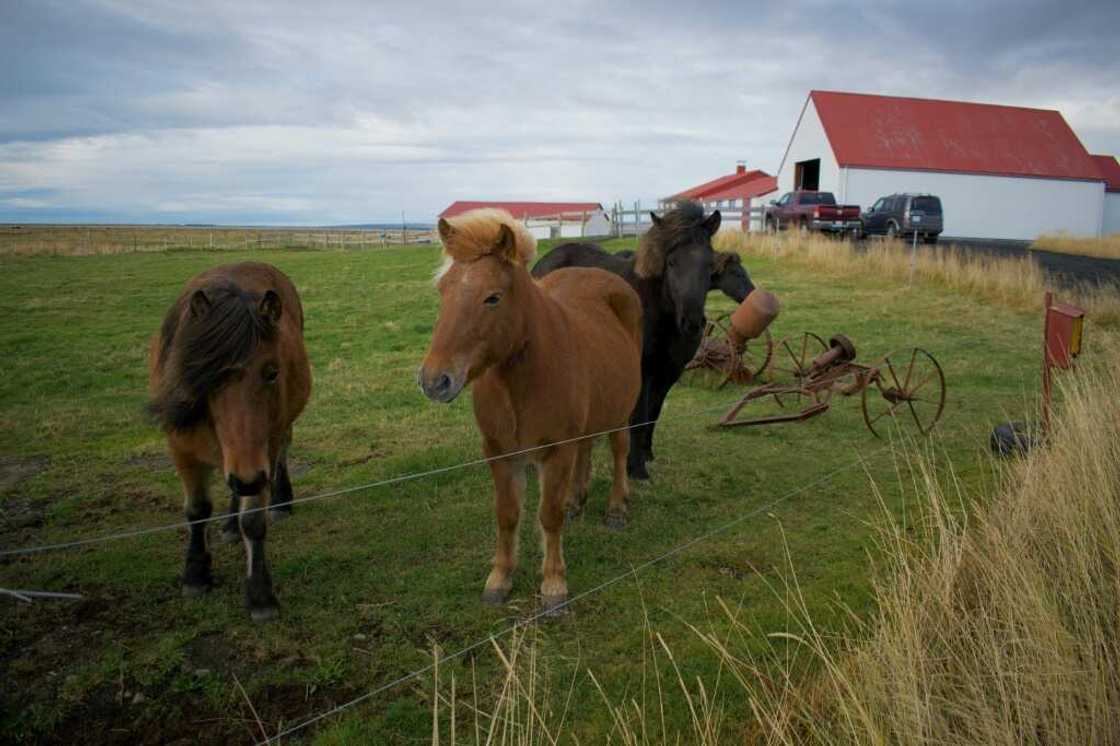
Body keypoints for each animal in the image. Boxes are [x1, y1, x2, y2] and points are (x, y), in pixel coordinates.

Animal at [146, 260, 311, 622]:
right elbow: (196, 510)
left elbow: (254, 520)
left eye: (272, 372)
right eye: (207, 376)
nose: (249, 479)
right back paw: (230, 526)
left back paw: (280, 503)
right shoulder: (181, 447)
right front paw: (196, 574)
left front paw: (260, 595)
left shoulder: (262, 451)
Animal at [418, 206, 645, 609]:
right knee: (586, 448)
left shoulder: (555, 452)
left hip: (621, 411)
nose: (434, 381)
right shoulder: (500, 453)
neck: (520, 383)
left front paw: (554, 585)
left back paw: (617, 508)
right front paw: (499, 579)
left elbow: (548, 516)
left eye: (492, 298)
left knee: (619, 449)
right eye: (443, 291)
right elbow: (508, 515)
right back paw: (576, 499)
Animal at [530, 199, 721, 477]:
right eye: (671, 262)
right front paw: (636, 468)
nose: (693, 323)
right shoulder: (643, 370)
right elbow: (639, 419)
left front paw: (647, 454)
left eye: (709, 264)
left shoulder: (669, 372)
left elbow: (654, 414)